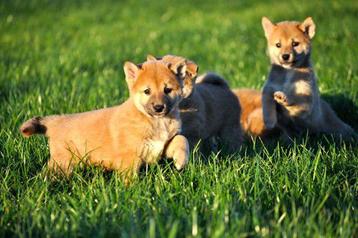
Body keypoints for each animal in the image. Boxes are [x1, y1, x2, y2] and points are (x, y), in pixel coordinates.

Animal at [20, 59, 190, 178]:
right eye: (147, 91)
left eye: (167, 90)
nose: (159, 107)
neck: (155, 122)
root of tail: (56, 120)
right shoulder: (129, 156)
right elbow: (129, 177)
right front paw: (131, 192)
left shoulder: (162, 145)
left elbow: (182, 140)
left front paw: (181, 161)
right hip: (63, 163)